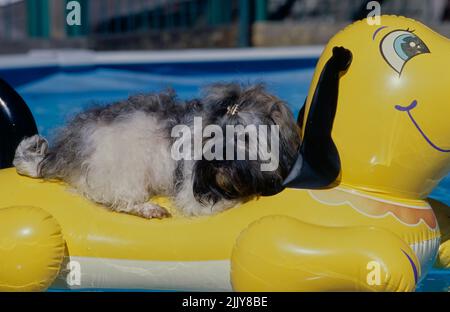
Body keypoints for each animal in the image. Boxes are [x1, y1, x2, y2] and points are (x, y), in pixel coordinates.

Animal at [13, 83, 302, 219]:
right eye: (212, 136)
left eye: (244, 138)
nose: (218, 163)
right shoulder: (193, 194)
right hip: (122, 164)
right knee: (115, 198)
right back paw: (148, 209)